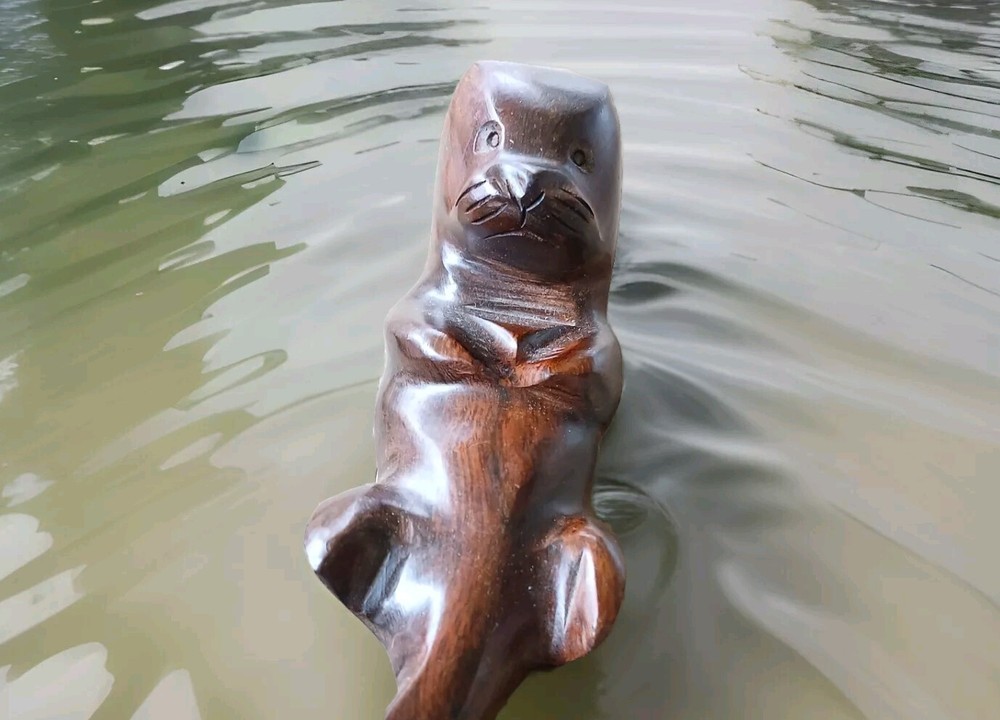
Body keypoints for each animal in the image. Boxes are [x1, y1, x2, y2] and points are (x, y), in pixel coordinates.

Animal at [305, 60, 625, 720]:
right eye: (492, 135)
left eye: (579, 156)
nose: (528, 182)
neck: (511, 308)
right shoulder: (413, 310)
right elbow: (426, 339)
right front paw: (484, 360)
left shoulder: (603, 346)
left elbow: (592, 370)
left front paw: (531, 370)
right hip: (336, 523)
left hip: (595, 563)